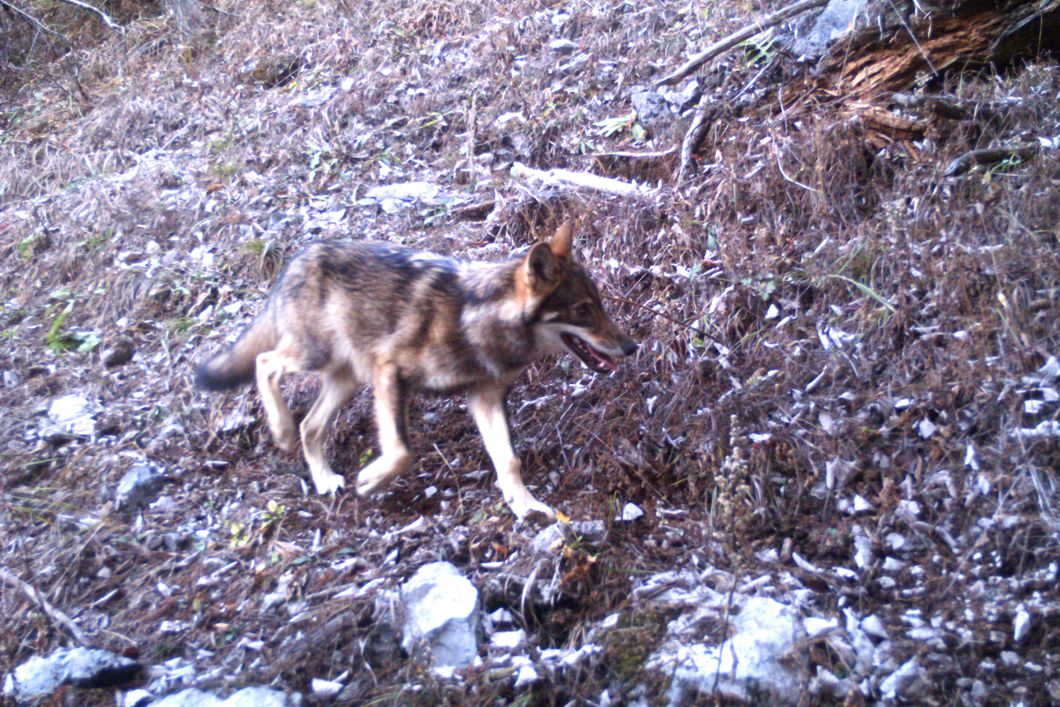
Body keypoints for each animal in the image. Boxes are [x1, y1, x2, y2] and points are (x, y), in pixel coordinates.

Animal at [194, 223, 637, 520]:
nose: (632, 347)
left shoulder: (486, 398)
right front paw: (371, 481)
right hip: (315, 357)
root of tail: (299, 257)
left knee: (311, 425)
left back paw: (323, 479)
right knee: (264, 363)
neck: (475, 322)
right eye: (583, 311)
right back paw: (282, 431)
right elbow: (403, 452)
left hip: (346, 380)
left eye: (600, 304)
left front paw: (526, 507)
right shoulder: (390, 373)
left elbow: (509, 460)